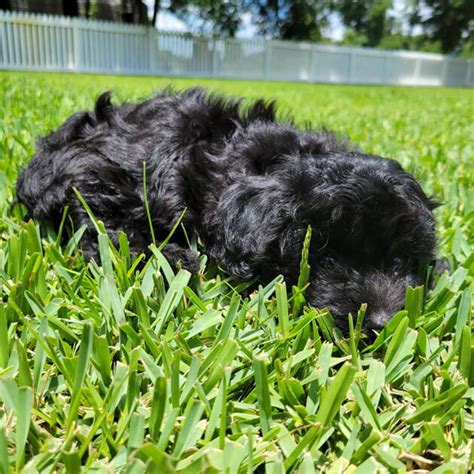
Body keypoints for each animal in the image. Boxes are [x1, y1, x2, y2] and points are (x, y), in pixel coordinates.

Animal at [15, 90, 436, 334]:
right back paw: (170, 260)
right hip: (99, 176)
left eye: (399, 262)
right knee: (97, 227)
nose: (380, 324)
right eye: (327, 259)